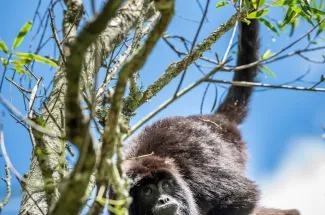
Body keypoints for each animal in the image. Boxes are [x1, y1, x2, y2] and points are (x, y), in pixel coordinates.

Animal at [117, 14, 298, 215]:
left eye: (165, 185)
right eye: (147, 191)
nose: (164, 199)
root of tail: (215, 120)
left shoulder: (197, 179)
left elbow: (244, 194)